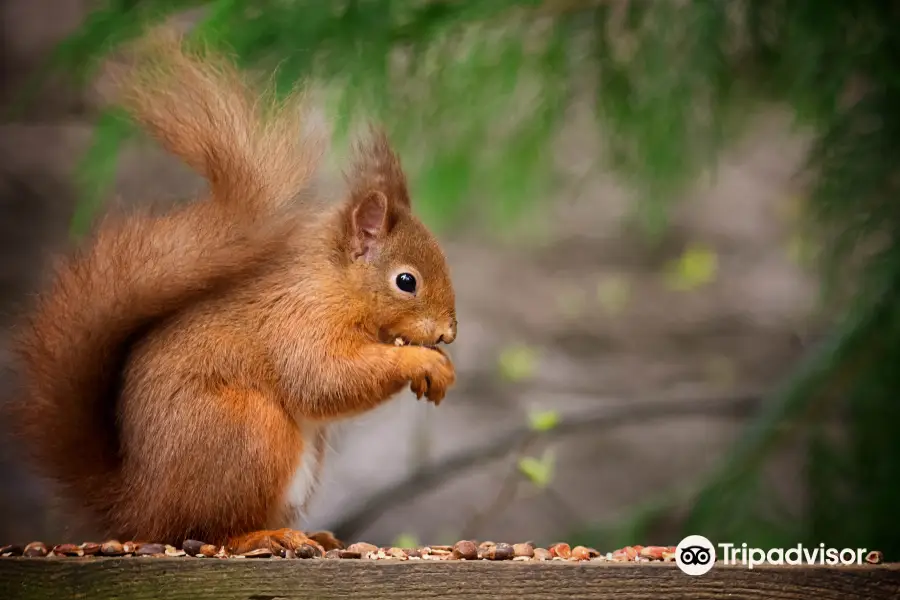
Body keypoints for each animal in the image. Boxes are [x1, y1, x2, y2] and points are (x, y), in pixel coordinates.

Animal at [7, 28, 458, 552]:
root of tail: (141, 506)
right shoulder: (299, 319)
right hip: (248, 433)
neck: (335, 281)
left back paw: (313, 535)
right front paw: (421, 361)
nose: (447, 334)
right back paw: (265, 537)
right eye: (406, 281)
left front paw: (436, 366)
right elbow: (324, 377)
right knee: (212, 531)